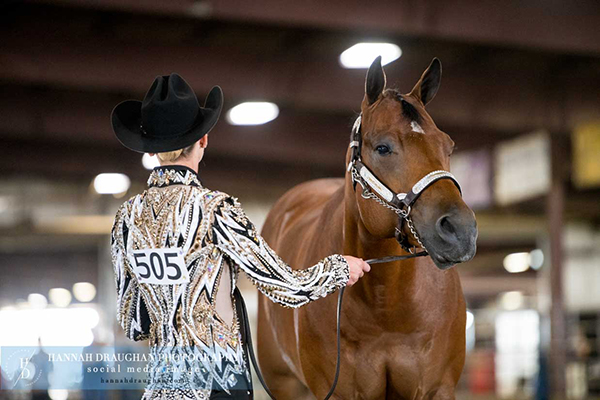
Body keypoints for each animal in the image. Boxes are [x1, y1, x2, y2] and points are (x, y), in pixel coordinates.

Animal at [258, 57, 478, 400]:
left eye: (448, 146)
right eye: (383, 148)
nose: (460, 230)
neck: (387, 307)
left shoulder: (437, 389)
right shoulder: (336, 393)